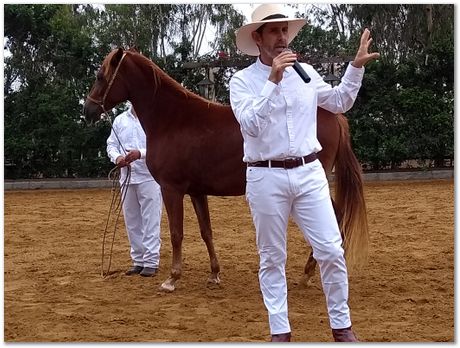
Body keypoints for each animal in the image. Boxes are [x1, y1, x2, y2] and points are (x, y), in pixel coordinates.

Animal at [84, 49, 368, 292]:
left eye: (100, 76)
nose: (88, 110)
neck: (173, 120)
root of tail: (335, 116)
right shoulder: (197, 192)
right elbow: (206, 231)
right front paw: (214, 274)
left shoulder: (171, 189)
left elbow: (176, 233)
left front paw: (172, 279)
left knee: (336, 216)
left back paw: (310, 272)